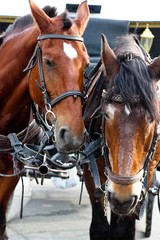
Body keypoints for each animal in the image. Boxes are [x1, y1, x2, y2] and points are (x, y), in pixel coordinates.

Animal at [83, 33, 160, 240]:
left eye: (152, 118)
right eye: (106, 114)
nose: (122, 197)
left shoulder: (147, 171)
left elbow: (123, 230)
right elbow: (99, 228)